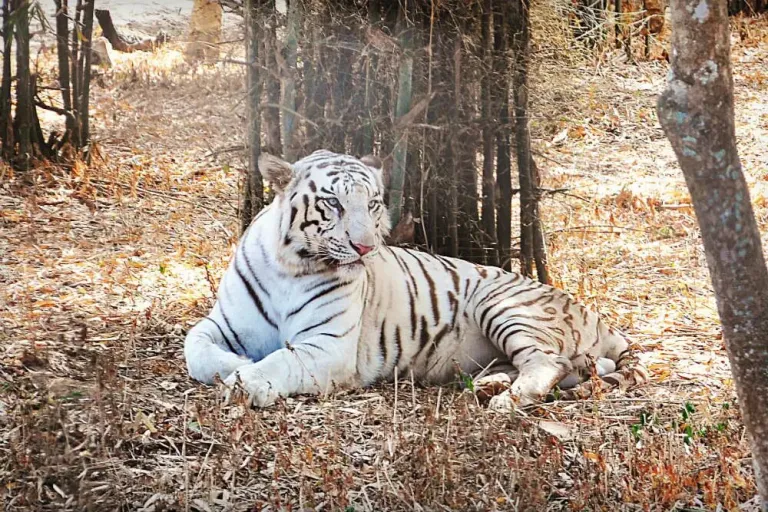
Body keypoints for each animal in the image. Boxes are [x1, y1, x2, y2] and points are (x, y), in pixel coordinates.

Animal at [186, 149, 648, 408]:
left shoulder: (328, 347)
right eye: (333, 203)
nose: (365, 248)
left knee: (549, 362)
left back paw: (504, 402)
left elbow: (282, 359)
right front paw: (237, 366)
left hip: (503, 302)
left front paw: (247, 382)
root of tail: (599, 318)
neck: (291, 266)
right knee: (568, 366)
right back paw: (488, 386)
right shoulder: (221, 323)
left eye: (373, 204)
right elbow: (195, 347)